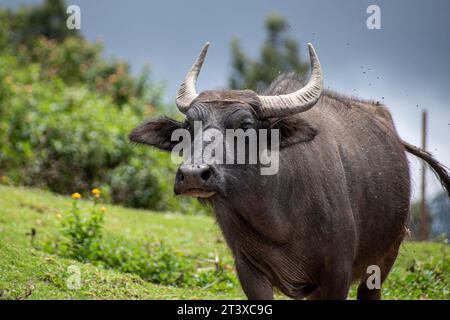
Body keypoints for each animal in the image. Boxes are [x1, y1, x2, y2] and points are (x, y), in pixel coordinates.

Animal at [128, 42, 448, 300]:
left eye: (245, 125)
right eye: (187, 127)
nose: (194, 174)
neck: (278, 218)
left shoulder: (337, 272)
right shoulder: (249, 270)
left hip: (384, 259)